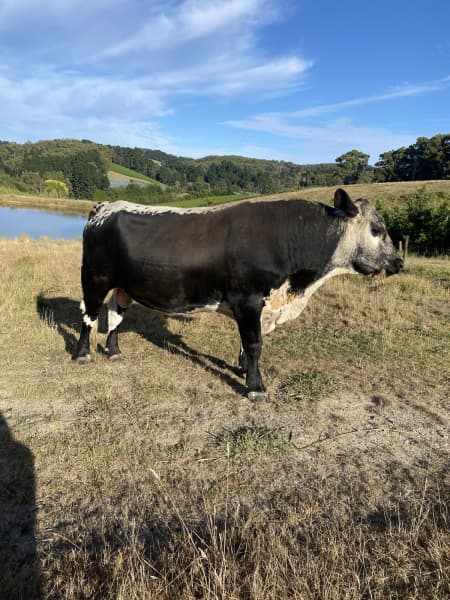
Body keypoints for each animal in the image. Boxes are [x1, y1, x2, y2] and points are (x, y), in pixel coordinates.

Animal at [75, 189, 402, 398]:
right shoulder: (248, 300)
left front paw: (243, 370)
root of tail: (105, 206)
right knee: (89, 316)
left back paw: (114, 351)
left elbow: (247, 343)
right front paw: (255, 387)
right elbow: (255, 343)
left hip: (123, 286)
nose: (399, 262)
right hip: (94, 279)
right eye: (376, 229)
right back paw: (82, 354)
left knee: (114, 316)